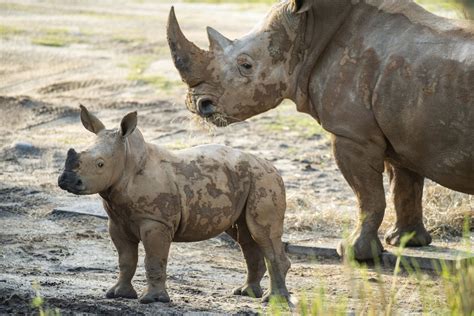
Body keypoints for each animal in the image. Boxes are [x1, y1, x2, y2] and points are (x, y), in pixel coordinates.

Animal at [57, 106, 290, 304]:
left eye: (100, 164)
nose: (66, 180)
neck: (127, 160)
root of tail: (271, 166)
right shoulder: (117, 221)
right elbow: (126, 259)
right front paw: (118, 294)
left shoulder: (156, 222)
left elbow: (153, 259)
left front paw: (152, 300)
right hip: (247, 179)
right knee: (246, 237)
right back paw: (246, 293)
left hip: (264, 180)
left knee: (262, 234)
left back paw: (274, 301)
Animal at [166, 0, 470, 260]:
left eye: (246, 65)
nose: (198, 104)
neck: (307, 33)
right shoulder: (401, 130)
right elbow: (405, 186)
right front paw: (406, 242)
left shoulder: (352, 133)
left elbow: (368, 196)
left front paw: (353, 252)